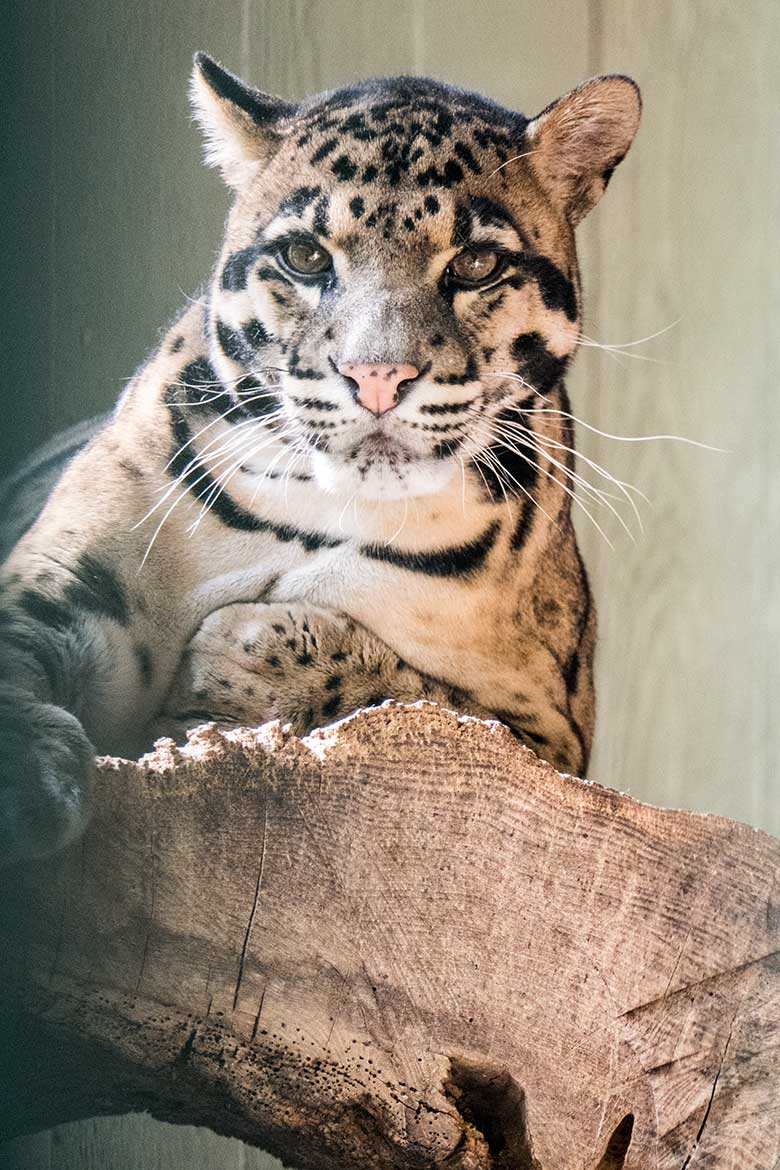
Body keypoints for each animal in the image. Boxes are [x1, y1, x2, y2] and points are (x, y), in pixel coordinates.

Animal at [0, 54, 640, 861]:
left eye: (477, 264)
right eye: (304, 255)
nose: (378, 375)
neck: (322, 505)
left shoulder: (551, 731)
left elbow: (428, 698)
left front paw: (235, 658)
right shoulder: (74, 570)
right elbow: (20, 632)